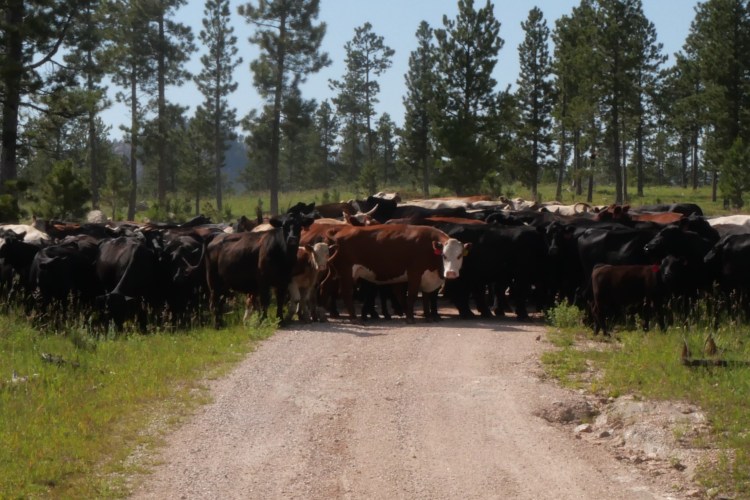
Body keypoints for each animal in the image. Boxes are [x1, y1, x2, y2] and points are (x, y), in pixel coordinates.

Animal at [322, 224, 470, 323]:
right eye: (444, 255)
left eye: (459, 256)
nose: (450, 273)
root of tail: (340, 230)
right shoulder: (414, 273)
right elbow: (412, 295)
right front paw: (410, 317)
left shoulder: (427, 277)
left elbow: (426, 297)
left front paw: (428, 316)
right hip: (346, 272)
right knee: (346, 293)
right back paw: (353, 318)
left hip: (334, 272)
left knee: (325, 286)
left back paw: (326, 312)